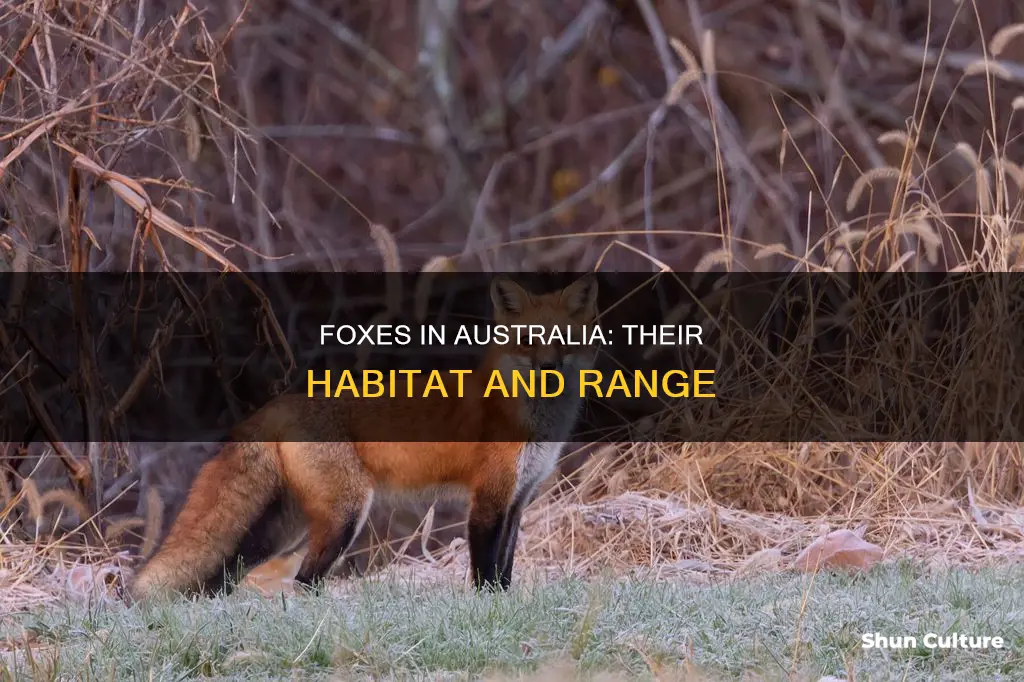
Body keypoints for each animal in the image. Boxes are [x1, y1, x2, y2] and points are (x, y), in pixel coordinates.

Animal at [127, 273, 600, 601]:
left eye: (566, 340)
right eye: (529, 340)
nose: (549, 369)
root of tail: (278, 403)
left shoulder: (518, 501)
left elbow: (505, 571)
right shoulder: (486, 502)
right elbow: (486, 575)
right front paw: (488, 612)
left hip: (284, 528)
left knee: (235, 573)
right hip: (346, 514)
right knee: (305, 580)